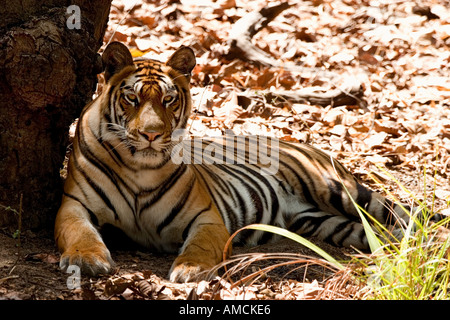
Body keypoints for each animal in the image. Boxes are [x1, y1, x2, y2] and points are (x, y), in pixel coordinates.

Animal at [54, 42, 420, 282]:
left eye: (169, 99)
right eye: (132, 98)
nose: (151, 135)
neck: (138, 167)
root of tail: (299, 142)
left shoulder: (206, 216)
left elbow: (200, 245)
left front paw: (191, 269)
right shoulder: (74, 205)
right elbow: (80, 232)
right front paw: (86, 260)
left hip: (340, 191)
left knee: (406, 213)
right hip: (321, 222)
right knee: (378, 232)